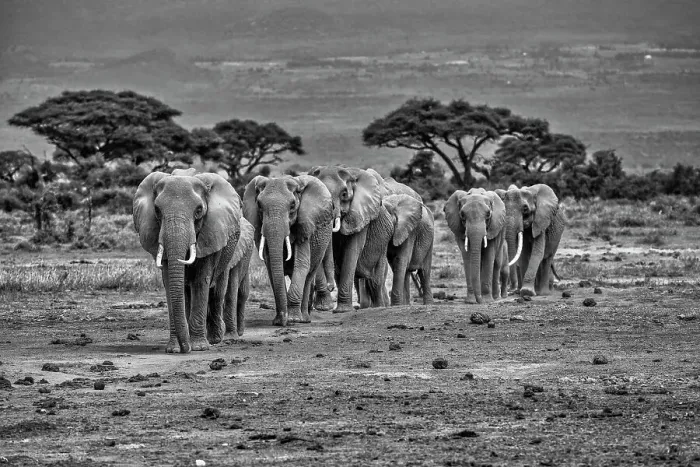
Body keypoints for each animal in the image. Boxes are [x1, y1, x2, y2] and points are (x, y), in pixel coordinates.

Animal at [133, 168, 246, 353]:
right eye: (157, 210)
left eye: (199, 210)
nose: (186, 349)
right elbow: (170, 282)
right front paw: (174, 349)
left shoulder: (211, 232)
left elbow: (201, 281)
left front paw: (199, 347)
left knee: (217, 291)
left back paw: (215, 338)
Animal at [242, 175, 333, 326]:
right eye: (259, 205)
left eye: (292, 205)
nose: (283, 322)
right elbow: (271, 266)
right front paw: (279, 321)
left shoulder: (305, 226)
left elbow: (301, 264)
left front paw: (292, 320)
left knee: (309, 275)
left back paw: (304, 319)